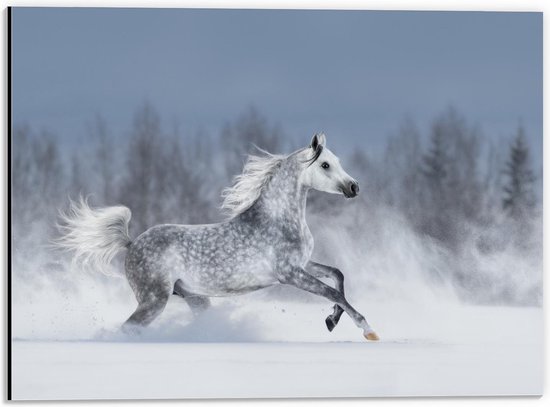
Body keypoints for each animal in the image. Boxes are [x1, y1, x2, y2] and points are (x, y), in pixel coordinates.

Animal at [58, 133, 382, 342]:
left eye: (337, 161)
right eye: (325, 165)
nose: (354, 187)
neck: (278, 219)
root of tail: (131, 243)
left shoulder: (303, 265)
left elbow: (338, 276)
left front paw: (331, 321)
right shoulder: (289, 274)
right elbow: (333, 292)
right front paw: (368, 330)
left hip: (194, 298)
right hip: (154, 300)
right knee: (128, 329)